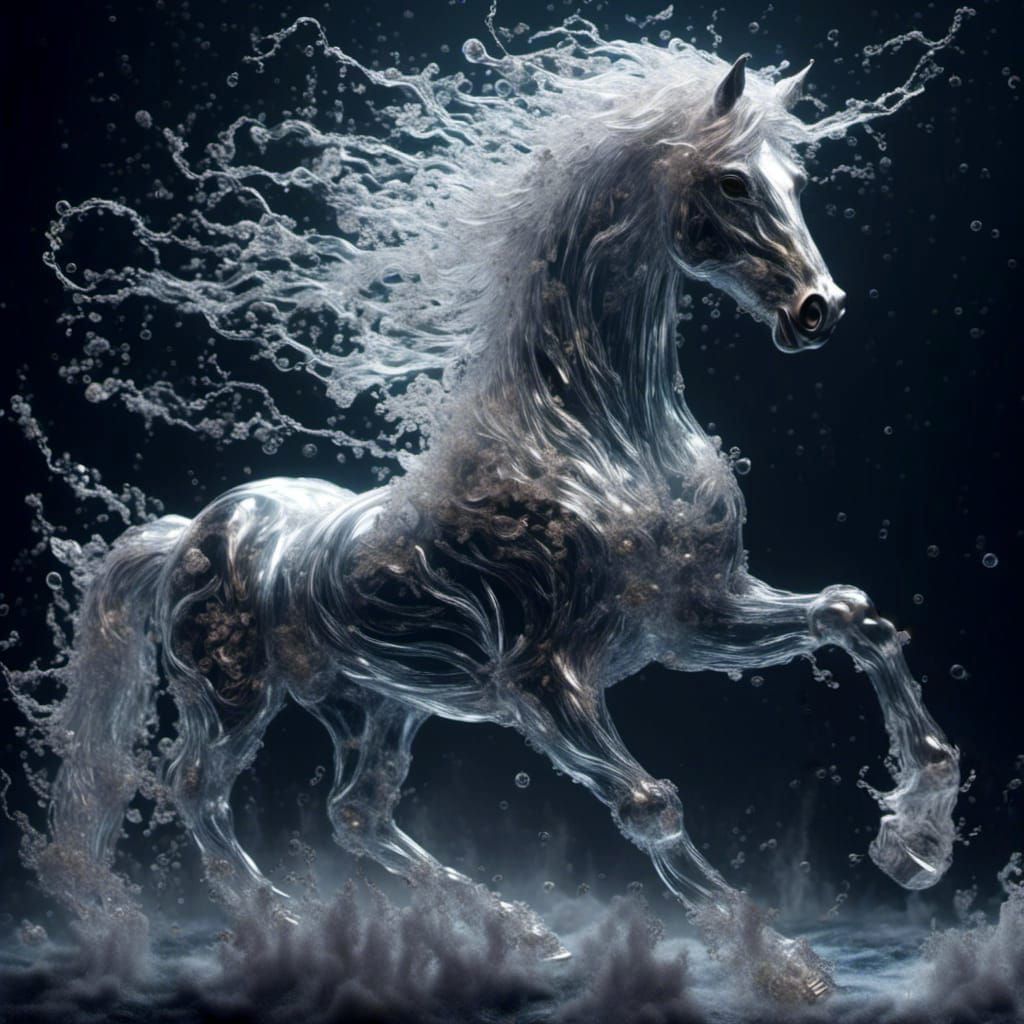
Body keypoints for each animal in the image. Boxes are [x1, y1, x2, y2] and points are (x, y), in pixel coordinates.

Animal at [28, 38, 961, 1004]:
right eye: (735, 182)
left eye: (798, 177)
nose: (821, 307)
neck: (595, 437)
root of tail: (189, 532)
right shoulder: (543, 679)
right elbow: (651, 805)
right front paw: (781, 964)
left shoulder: (697, 618)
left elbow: (853, 617)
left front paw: (916, 843)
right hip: (231, 698)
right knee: (194, 790)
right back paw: (281, 922)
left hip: (379, 704)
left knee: (355, 813)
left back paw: (520, 931)